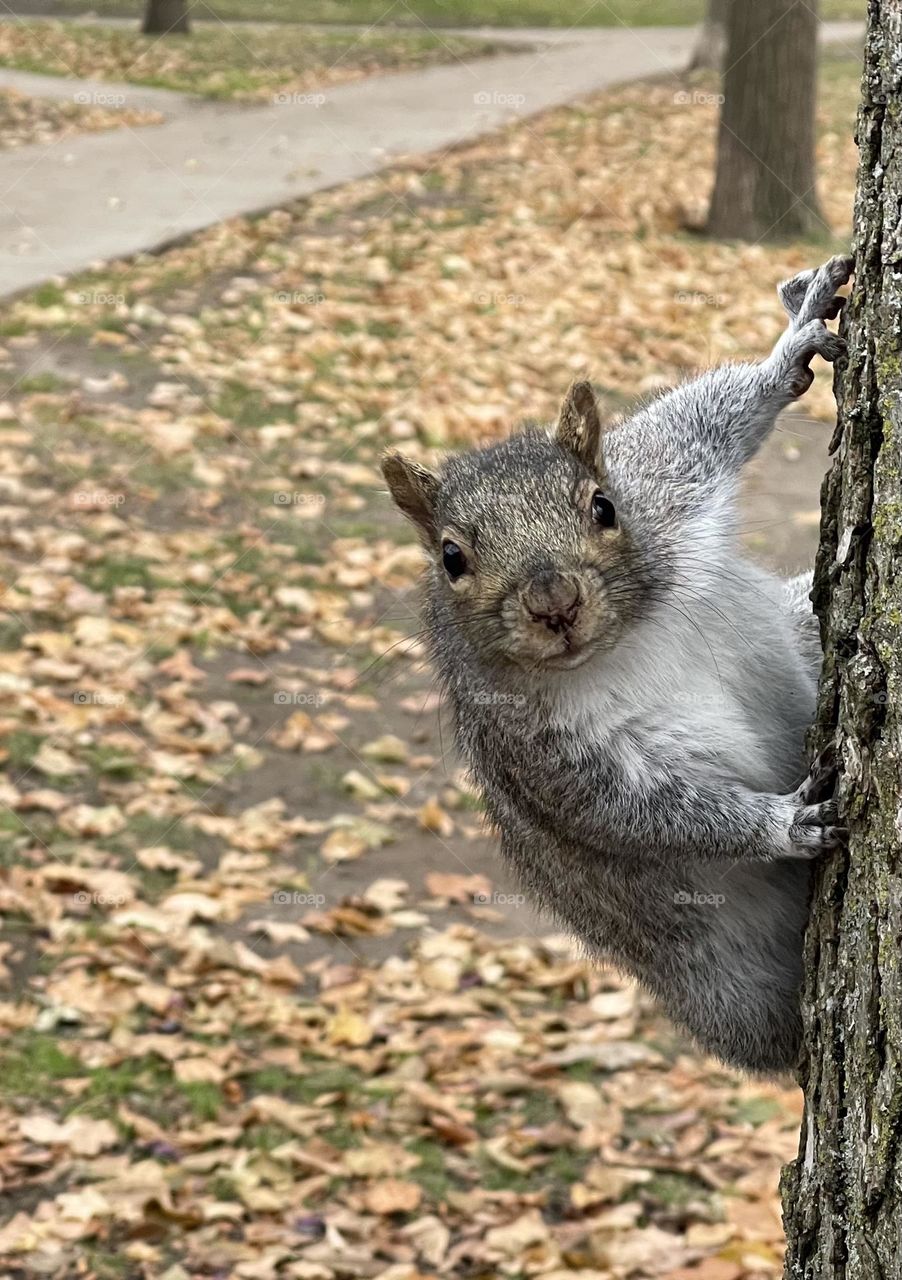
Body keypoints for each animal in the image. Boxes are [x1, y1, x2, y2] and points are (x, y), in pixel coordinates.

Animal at [378, 257, 849, 1070]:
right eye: (450, 558)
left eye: (604, 507)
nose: (554, 602)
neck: (622, 642)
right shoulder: (536, 754)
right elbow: (642, 815)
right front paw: (784, 825)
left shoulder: (664, 492)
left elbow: (705, 421)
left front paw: (789, 347)